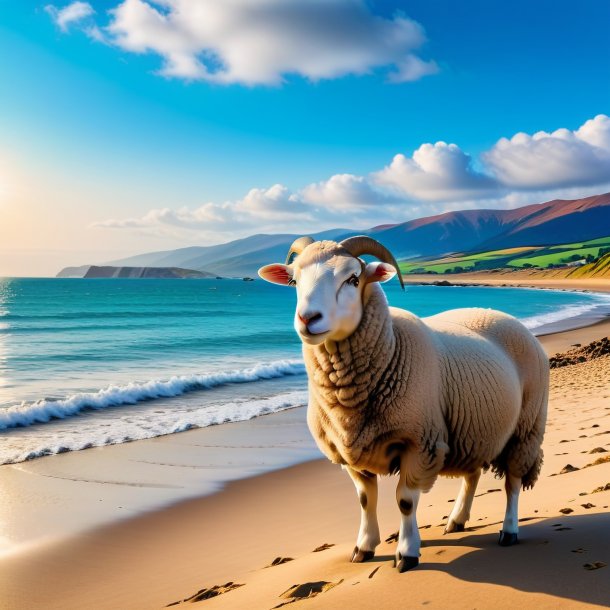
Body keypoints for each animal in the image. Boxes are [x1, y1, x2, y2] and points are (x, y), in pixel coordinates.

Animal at [255, 234, 548, 568]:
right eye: (294, 280)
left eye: (353, 279)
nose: (307, 318)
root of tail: (504, 315)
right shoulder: (352, 453)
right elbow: (365, 500)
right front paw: (364, 547)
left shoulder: (420, 442)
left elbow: (405, 501)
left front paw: (407, 552)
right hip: (472, 431)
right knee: (472, 475)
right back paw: (457, 520)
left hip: (526, 428)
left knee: (513, 482)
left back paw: (509, 530)